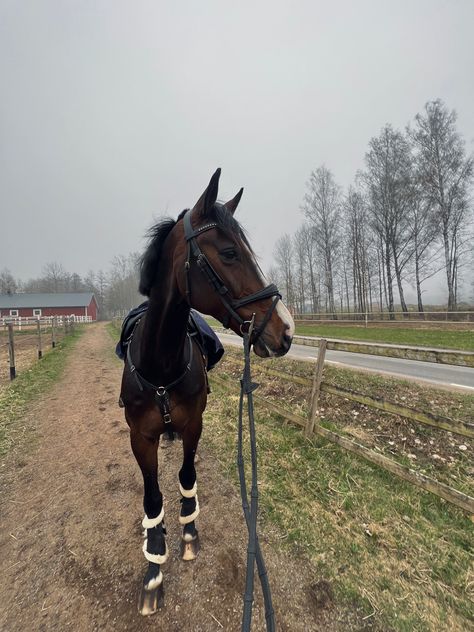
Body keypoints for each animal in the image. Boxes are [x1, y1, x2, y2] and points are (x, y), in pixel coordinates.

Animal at [119, 169, 292, 616]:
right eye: (230, 253)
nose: (286, 330)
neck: (160, 364)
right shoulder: (140, 439)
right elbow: (152, 497)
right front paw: (154, 567)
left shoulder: (193, 425)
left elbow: (186, 476)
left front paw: (189, 531)